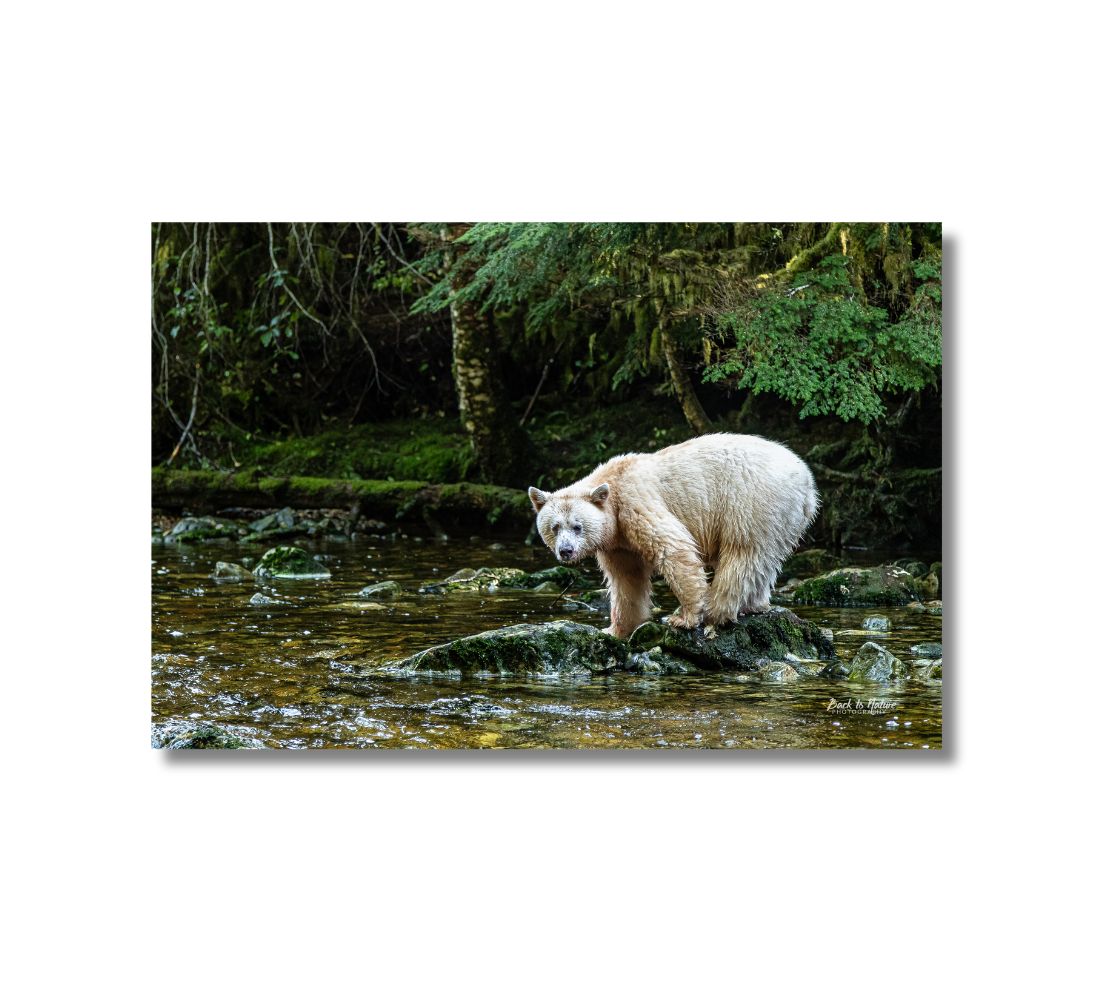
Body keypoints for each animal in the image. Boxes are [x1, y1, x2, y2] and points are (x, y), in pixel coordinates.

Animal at [528, 434, 819, 640]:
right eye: (554, 527)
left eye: (577, 526)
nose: (565, 551)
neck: (614, 486)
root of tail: (806, 480)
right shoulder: (618, 542)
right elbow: (626, 579)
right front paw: (615, 629)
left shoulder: (636, 502)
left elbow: (673, 548)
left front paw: (686, 617)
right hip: (783, 519)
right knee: (764, 558)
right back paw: (755, 605)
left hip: (752, 500)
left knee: (742, 554)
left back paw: (716, 612)